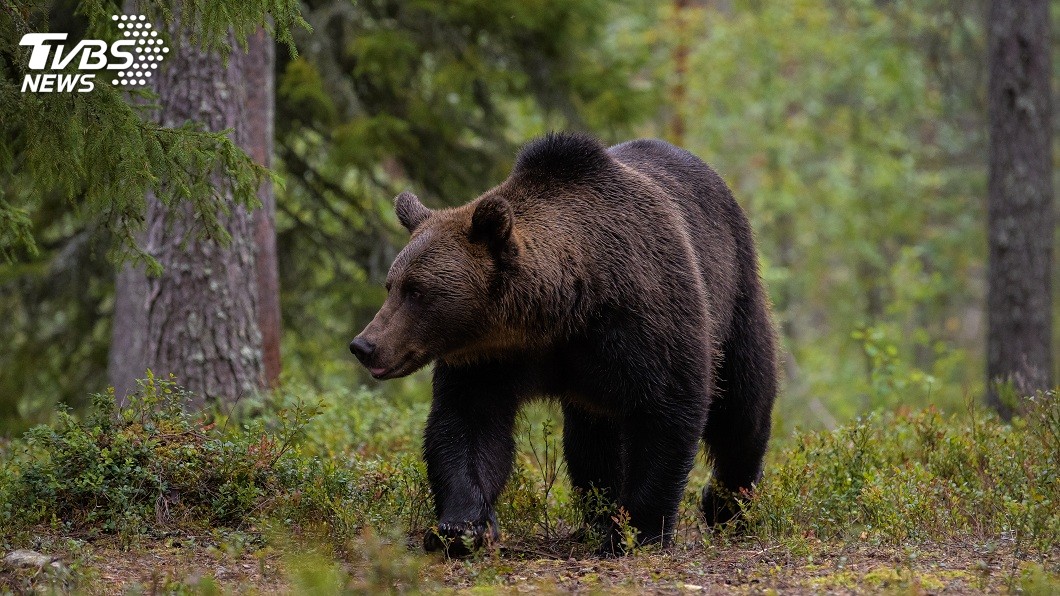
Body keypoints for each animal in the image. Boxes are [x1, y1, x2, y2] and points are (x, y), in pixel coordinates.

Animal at [349, 132, 778, 556]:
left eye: (417, 291)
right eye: (391, 285)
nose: (364, 345)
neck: (560, 314)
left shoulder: (644, 319)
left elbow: (668, 411)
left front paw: (636, 531)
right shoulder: (489, 357)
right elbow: (467, 425)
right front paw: (461, 528)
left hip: (733, 293)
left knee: (743, 404)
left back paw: (726, 504)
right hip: (594, 392)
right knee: (591, 442)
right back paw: (599, 513)